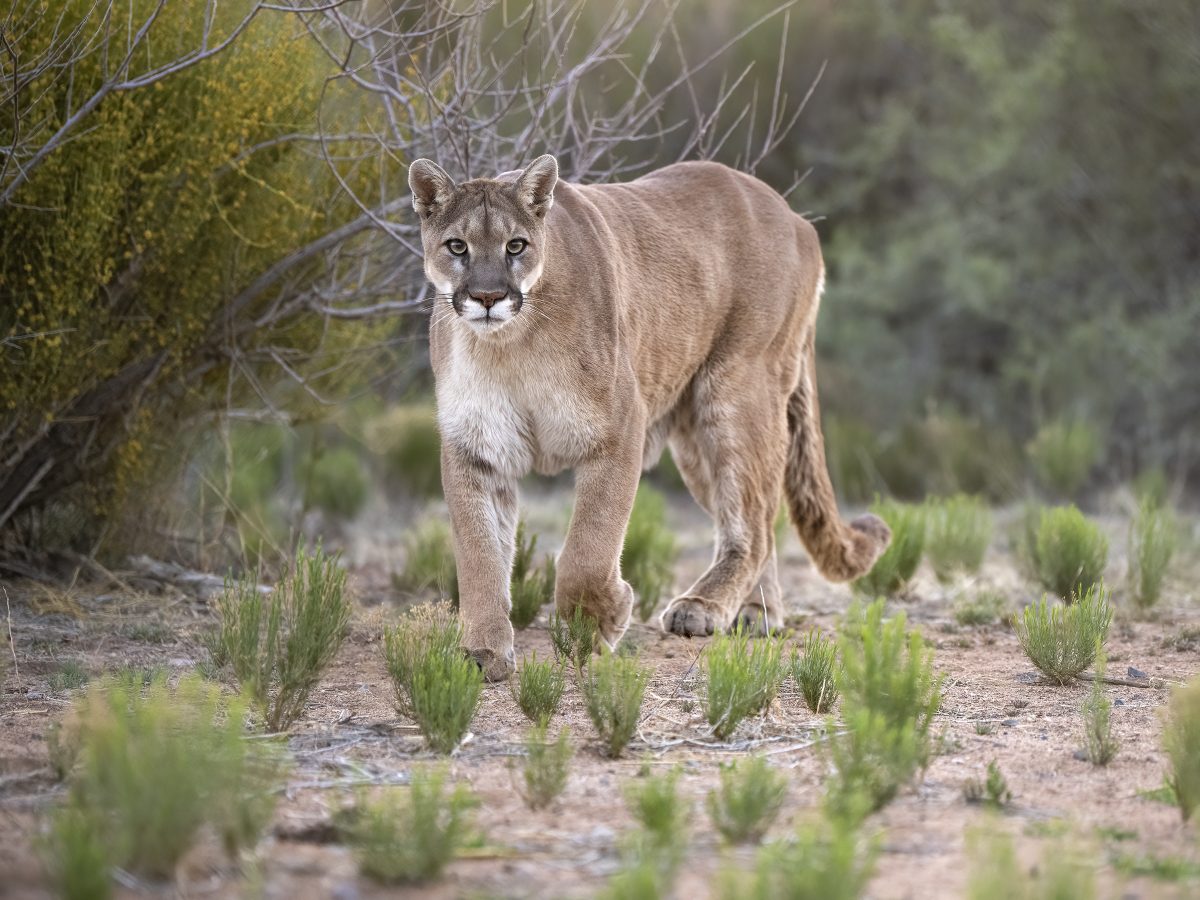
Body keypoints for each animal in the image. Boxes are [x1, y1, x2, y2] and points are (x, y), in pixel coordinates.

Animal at [408, 154, 888, 681]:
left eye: (516, 245)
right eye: (457, 246)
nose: (489, 297)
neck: (509, 345)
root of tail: (794, 215)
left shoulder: (619, 428)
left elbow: (589, 547)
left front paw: (599, 623)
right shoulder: (474, 448)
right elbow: (479, 554)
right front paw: (483, 652)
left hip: (737, 391)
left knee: (755, 522)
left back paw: (702, 607)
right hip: (697, 443)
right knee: (754, 512)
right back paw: (756, 613)